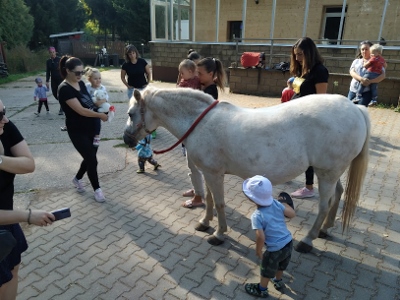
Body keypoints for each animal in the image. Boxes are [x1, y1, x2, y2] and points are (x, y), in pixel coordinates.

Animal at [123, 87, 370, 253]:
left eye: (130, 113)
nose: (126, 139)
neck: (201, 123)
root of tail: (355, 109)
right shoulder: (210, 173)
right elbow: (210, 199)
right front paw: (204, 223)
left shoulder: (214, 174)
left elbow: (220, 203)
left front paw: (218, 234)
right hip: (330, 172)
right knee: (337, 195)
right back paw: (325, 229)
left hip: (326, 173)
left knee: (324, 205)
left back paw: (308, 241)